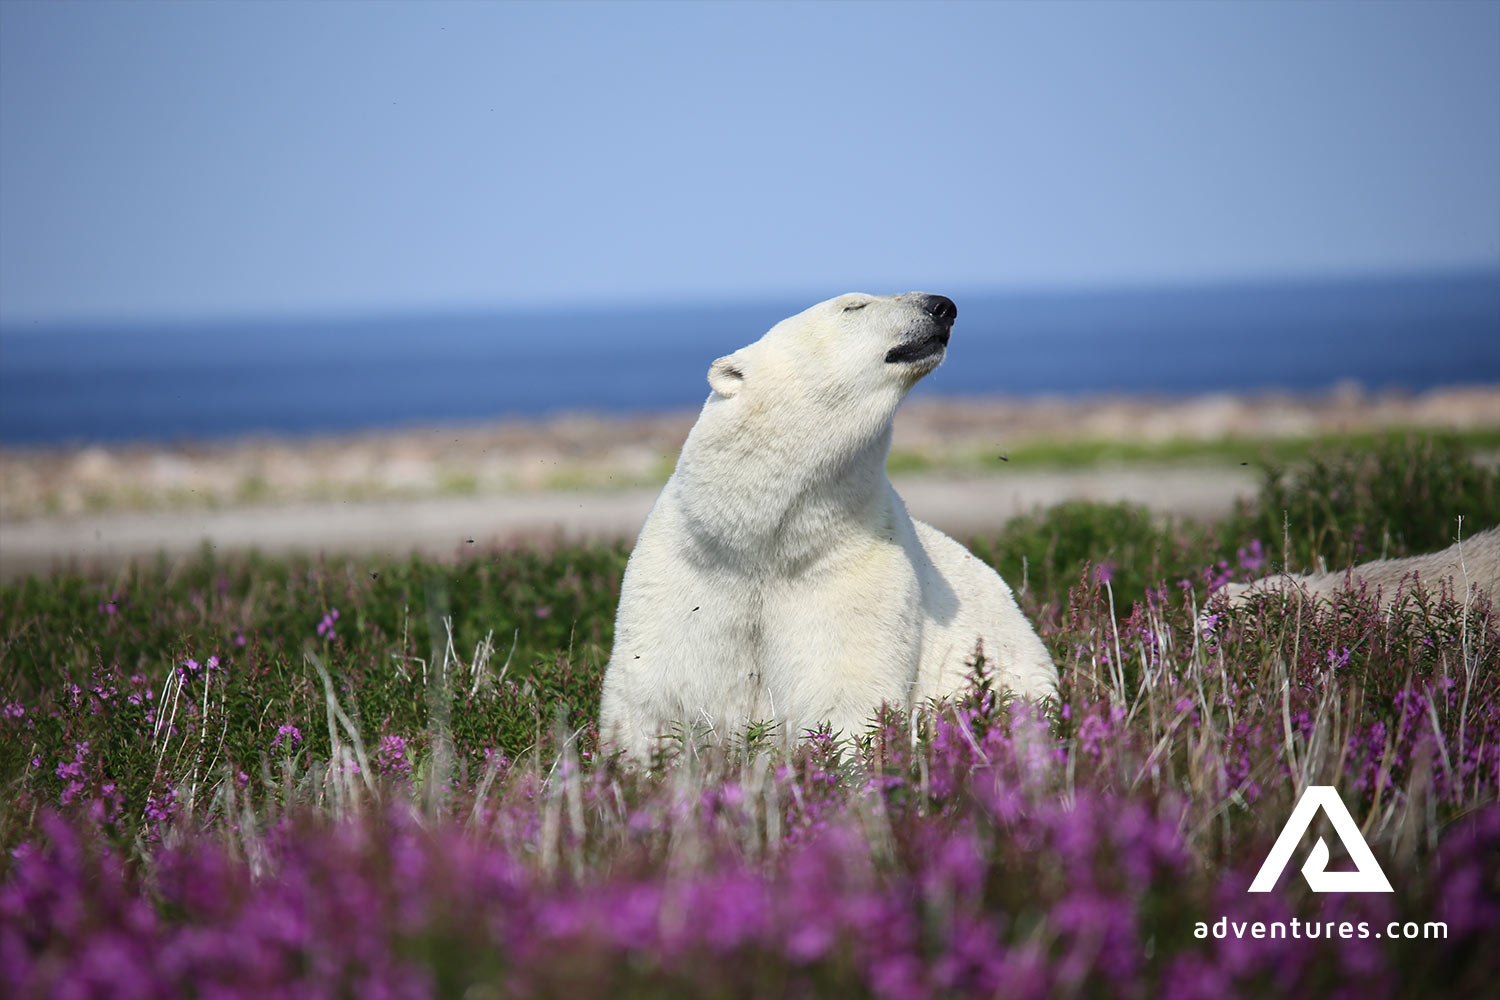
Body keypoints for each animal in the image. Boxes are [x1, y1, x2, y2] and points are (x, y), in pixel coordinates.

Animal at [598, 292, 1057, 762]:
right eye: (853, 307)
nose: (942, 305)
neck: (764, 542)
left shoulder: (854, 573)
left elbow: (844, 692)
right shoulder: (686, 573)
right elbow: (652, 690)